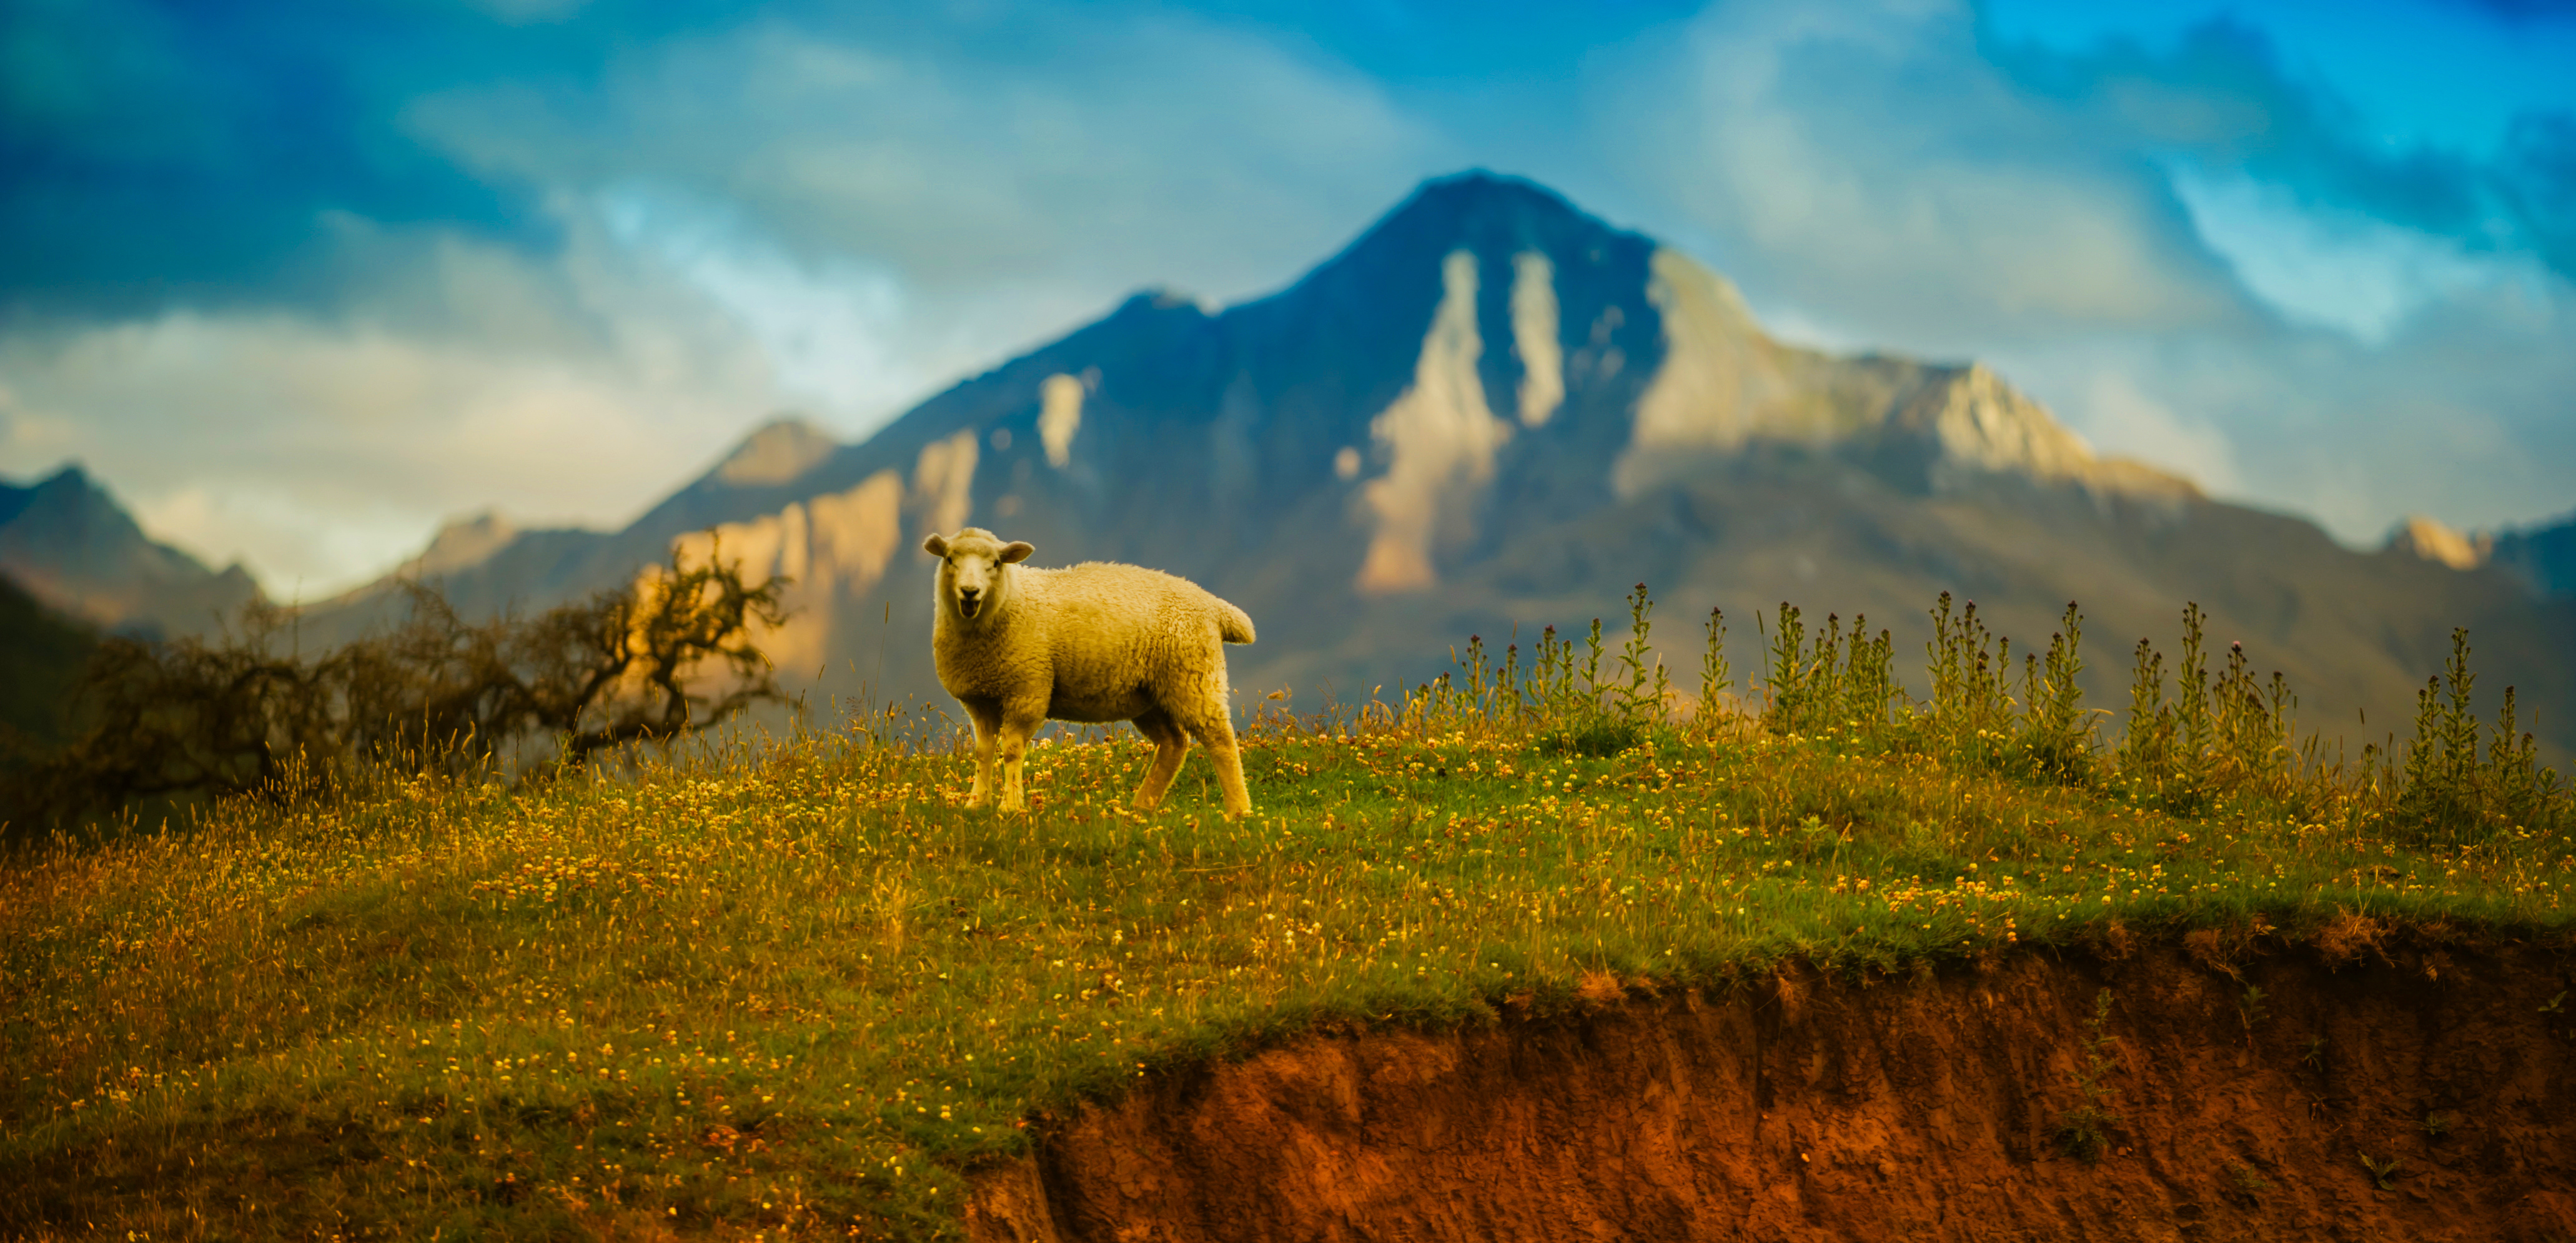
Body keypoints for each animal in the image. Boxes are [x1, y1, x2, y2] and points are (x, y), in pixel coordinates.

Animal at [921, 527, 1258, 819]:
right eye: (949, 559)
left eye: (995, 563)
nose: (970, 592)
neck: (1009, 600)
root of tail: (1214, 605)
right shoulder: (980, 699)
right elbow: (983, 752)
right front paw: (976, 803)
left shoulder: (1027, 690)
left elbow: (1013, 750)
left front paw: (1011, 806)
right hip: (1149, 693)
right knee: (1174, 744)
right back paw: (1142, 806)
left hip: (1192, 677)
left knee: (1220, 740)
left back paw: (1238, 810)